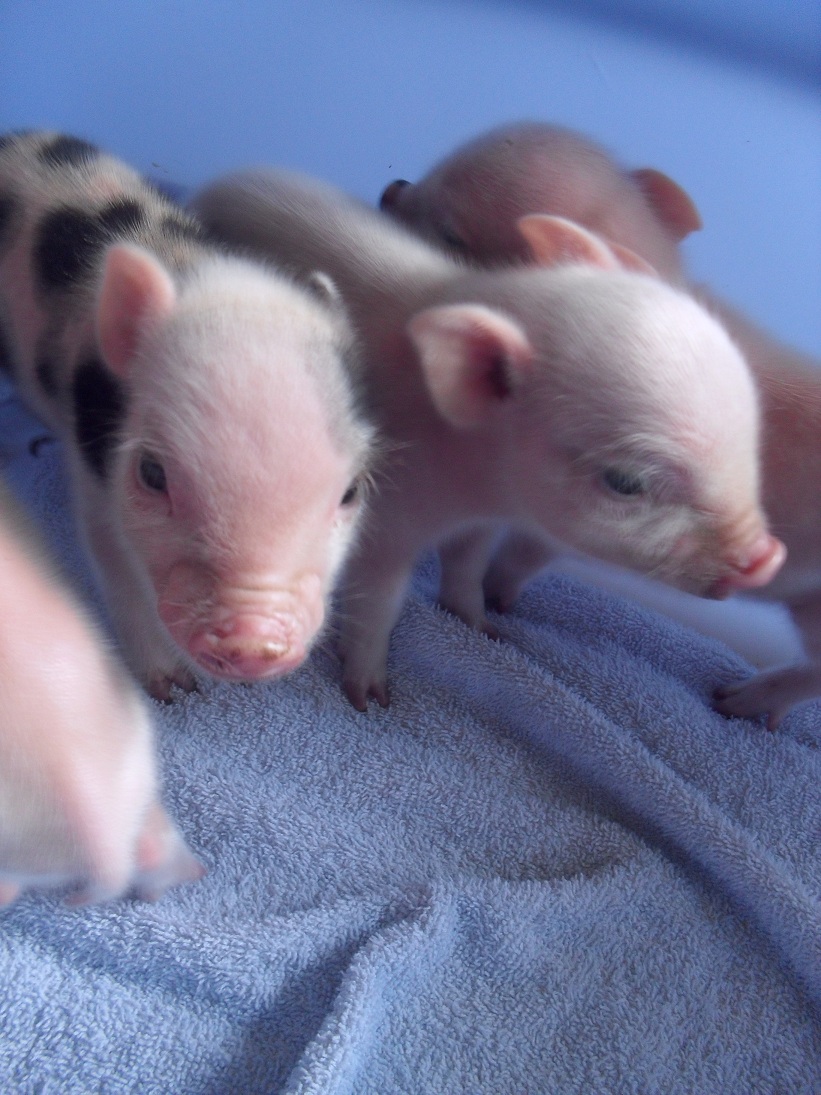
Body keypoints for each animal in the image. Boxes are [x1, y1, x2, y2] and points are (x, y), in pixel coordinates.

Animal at [0, 132, 375, 699]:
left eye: (351, 491)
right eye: (153, 474)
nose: (255, 641)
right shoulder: (94, 474)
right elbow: (118, 569)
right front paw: (175, 690)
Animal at [191, 168, 784, 710]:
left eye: (749, 427)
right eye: (625, 482)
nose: (768, 556)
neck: (475, 484)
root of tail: (222, 179)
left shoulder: (481, 522)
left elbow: (467, 566)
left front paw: (481, 628)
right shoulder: (385, 520)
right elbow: (380, 600)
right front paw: (371, 699)